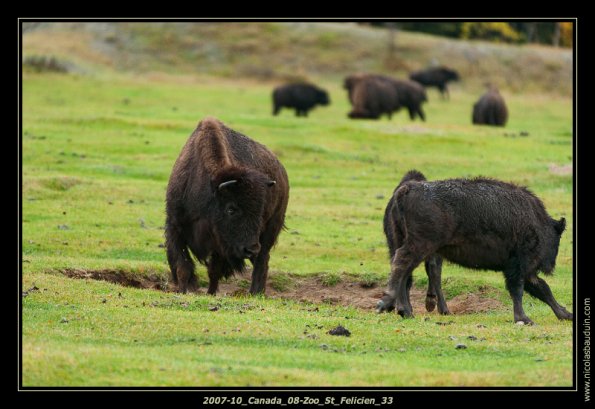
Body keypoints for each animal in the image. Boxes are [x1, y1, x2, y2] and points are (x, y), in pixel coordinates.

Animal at [165, 117, 292, 294]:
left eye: (260, 212)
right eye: (231, 209)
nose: (251, 249)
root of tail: (282, 171)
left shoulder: (221, 244)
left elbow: (214, 270)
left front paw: (210, 293)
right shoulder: (175, 226)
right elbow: (182, 267)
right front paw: (185, 291)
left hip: (269, 232)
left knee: (262, 261)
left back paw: (255, 293)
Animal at [380, 167, 576, 324]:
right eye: (557, 238)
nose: (549, 267)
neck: (536, 222)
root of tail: (407, 189)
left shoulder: (525, 271)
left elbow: (543, 289)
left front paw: (566, 314)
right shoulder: (520, 266)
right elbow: (520, 290)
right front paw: (524, 319)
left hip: (406, 243)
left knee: (405, 272)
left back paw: (406, 311)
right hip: (420, 246)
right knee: (402, 266)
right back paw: (388, 304)